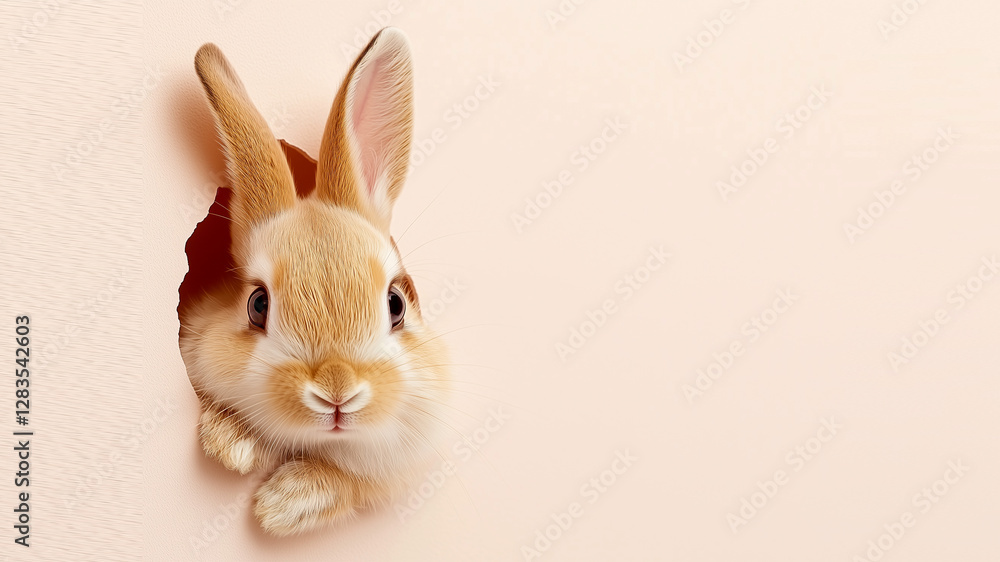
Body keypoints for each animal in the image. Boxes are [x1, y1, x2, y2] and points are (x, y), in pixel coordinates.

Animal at [179, 28, 450, 536]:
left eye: (396, 304)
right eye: (258, 305)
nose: (337, 392)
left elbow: (352, 483)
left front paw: (282, 504)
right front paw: (232, 444)